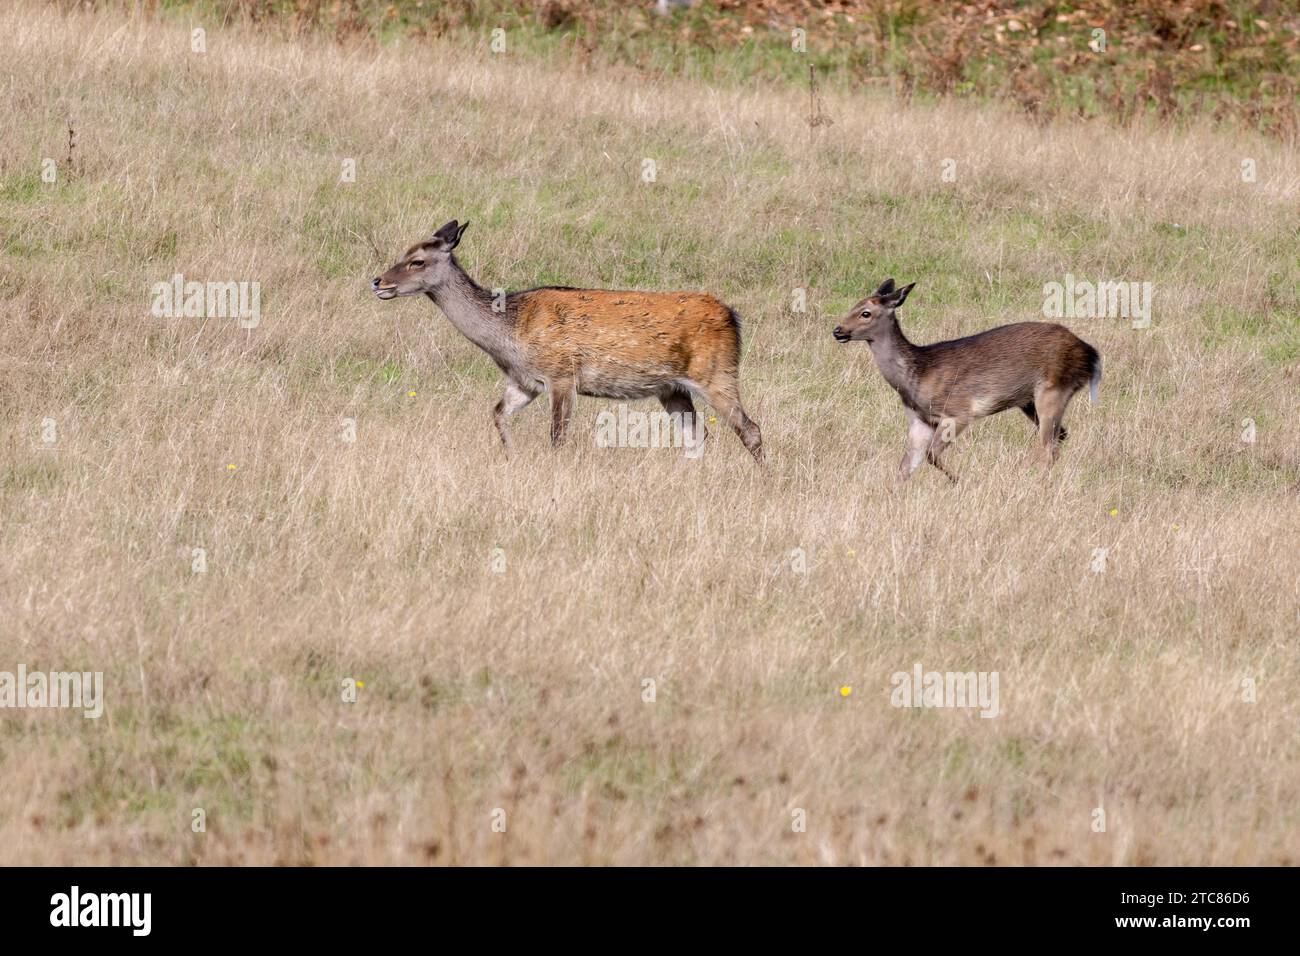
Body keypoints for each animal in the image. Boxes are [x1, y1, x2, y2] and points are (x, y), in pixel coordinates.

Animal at [374, 222, 759, 465]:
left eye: (417, 261)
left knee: (750, 429)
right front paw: (512, 458)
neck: (509, 336)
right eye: (404, 252)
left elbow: (557, 436)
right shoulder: (524, 382)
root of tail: (733, 316)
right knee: (696, 434)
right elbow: (497, 414)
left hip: (716, 372)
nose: (378, 282)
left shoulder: (561, 375)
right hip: (672, 388)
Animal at [837, 280, 1102, 481]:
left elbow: (931, 455)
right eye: (853, 305)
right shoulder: (920, 421)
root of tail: (1090, 353)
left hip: (1053, 388)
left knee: (1048, 447)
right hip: (1029, 401)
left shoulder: (959, 411)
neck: (917, 376)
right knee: (1061, 437)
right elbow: (905, 466)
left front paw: (958, 480)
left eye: (865, 313)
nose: (838, 330)